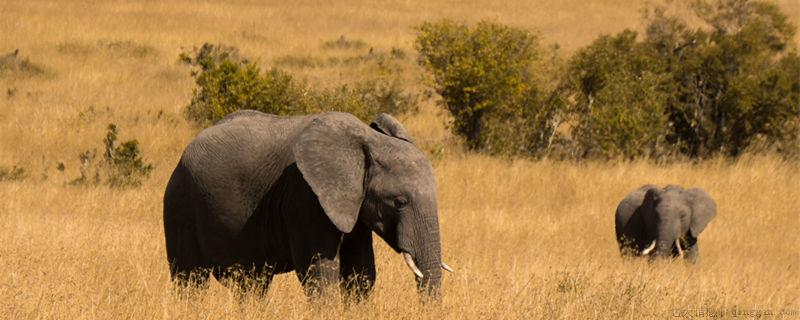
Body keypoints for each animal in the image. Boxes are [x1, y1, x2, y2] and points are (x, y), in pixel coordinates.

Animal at [162, 111, 450, 298]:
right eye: (399, 202)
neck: (368, 141)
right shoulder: (304, 198)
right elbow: (319, 273)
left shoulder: (353, 203)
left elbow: (361, 273)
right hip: (179, 205)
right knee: (190, 279)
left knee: (253, 284)